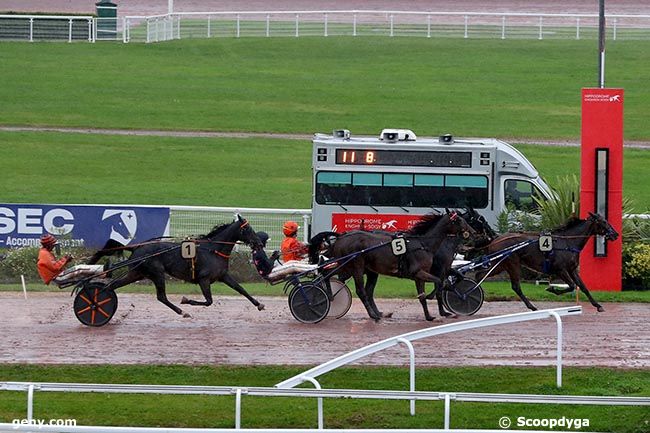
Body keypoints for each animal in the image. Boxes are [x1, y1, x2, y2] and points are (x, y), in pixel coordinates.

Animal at [106, 215, 264, 318]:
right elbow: (209, 301)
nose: (259, 243)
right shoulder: (204, 279)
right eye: (248, 229)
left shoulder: (223, 275)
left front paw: (259, 304)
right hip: (157, 273)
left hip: (136, 273)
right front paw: (186, 300)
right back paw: (182, 312)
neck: (213, 249)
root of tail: (137, 247)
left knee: (112, 286)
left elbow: (240, 289)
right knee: (161, 297)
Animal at [322, 213, 474, 320]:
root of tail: (340, 238)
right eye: (460, 220)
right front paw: (437, 302)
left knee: (327, 273)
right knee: (360, 291)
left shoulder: (421, 276)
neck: (423, 245)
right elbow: (439, 282)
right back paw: (373, 315)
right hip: (356, 267)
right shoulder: (420, 272)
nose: (472, 231)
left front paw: (429, 316)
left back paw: (330, 295)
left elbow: (424, 295)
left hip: (351, 267)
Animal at [484, 212, 616, 310]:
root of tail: (495, 240)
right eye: (604, 221)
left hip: (500, 266)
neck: (567, 242)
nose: (616, 234)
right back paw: (532, 306)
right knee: (516, 286)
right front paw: (552, 289)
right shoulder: (560, 270)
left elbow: (582, 286)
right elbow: (571, 286)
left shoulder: (572, 269)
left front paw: (597, 305)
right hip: (512, 264)